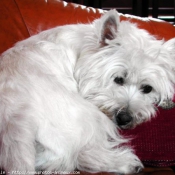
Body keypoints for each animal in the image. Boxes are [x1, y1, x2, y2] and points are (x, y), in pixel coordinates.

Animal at [0, 9, 175, 175]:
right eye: (118, 79)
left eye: (147, 88)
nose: (125, 118)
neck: (82, 51)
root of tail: (17, 116)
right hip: (90, 117)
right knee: (81, 155)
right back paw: (128, 163)